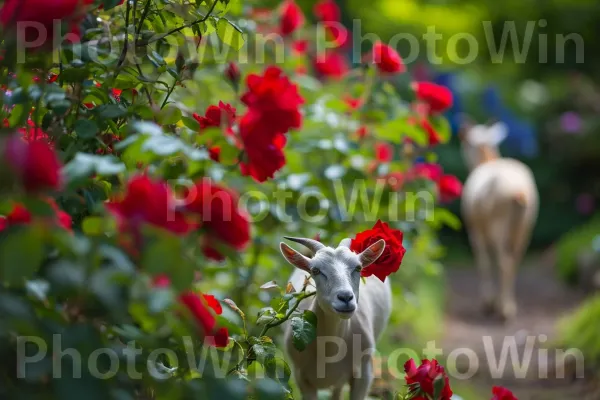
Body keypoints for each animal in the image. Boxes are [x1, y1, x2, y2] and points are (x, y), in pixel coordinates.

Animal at [460, 120, 540, 320]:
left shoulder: (475, 230)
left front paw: (488, 303)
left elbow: (484, 261)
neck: (486, 158)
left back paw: (503, 310)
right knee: (515, 260)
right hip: (525, 226)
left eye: (466, 142)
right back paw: (508, 305)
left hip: (499, 224)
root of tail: (519, 191)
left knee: (504, 262)